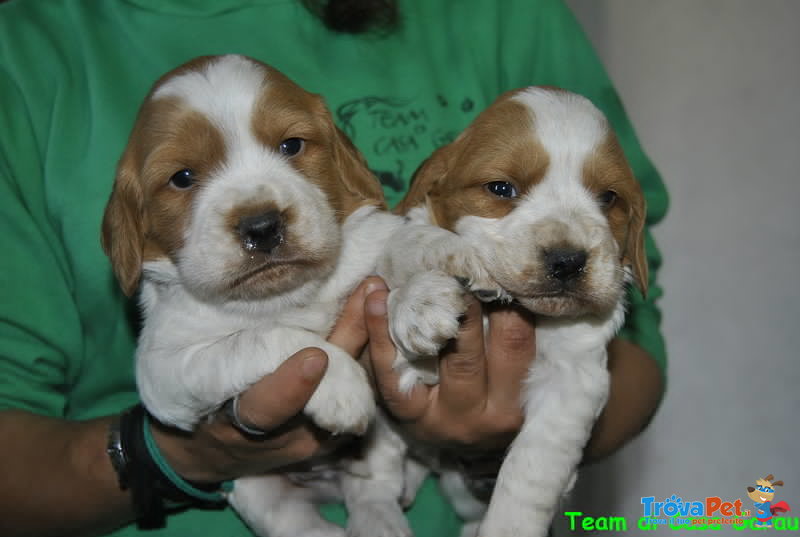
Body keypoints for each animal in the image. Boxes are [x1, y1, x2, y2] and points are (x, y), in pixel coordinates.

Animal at [101, 54, 412, 536]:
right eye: (182, 178)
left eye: (291, 146)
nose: (262, 226)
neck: (283, 294)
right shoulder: (163, 372)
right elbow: (263, 337)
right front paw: (340, 385)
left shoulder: (376, 238)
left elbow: (412, 247)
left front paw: (427, 303)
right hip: (257, 490)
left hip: (381, 450)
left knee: (373, 488)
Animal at [378, 88, 648, 536]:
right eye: (501, 188)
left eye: (609, 198)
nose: (568, 261)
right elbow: (411, 241)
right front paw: (422, 300)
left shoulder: (574, 381)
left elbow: (530, 473)